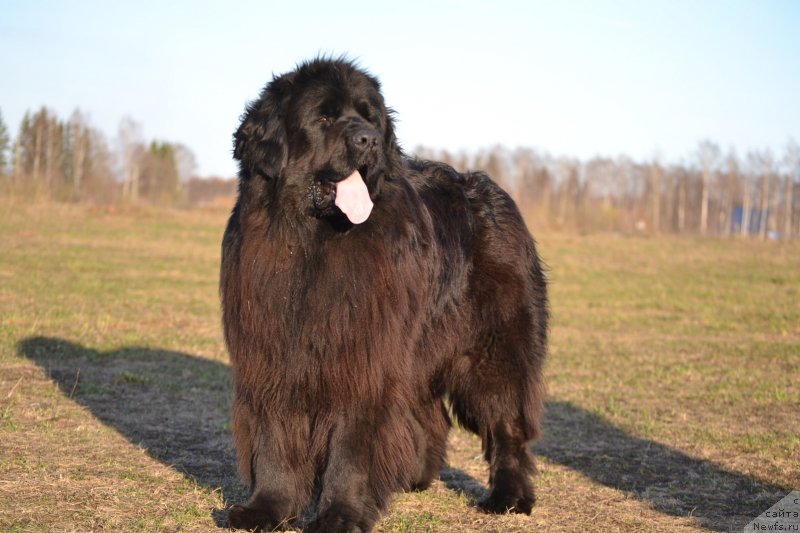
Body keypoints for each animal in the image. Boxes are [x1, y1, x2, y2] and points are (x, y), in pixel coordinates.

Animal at [222, 58, 548, 532]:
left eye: (369, 117)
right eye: (324, 118)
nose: (369, 140)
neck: (313, 245)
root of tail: (501, 195)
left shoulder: (365, 358)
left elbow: (352, 445)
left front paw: (340, 515)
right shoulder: (272, 355)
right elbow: (275, 439)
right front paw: (267, 508)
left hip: (493, 349)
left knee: (507, 424)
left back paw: (509, 497)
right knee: (431, 415)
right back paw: (411, 476)